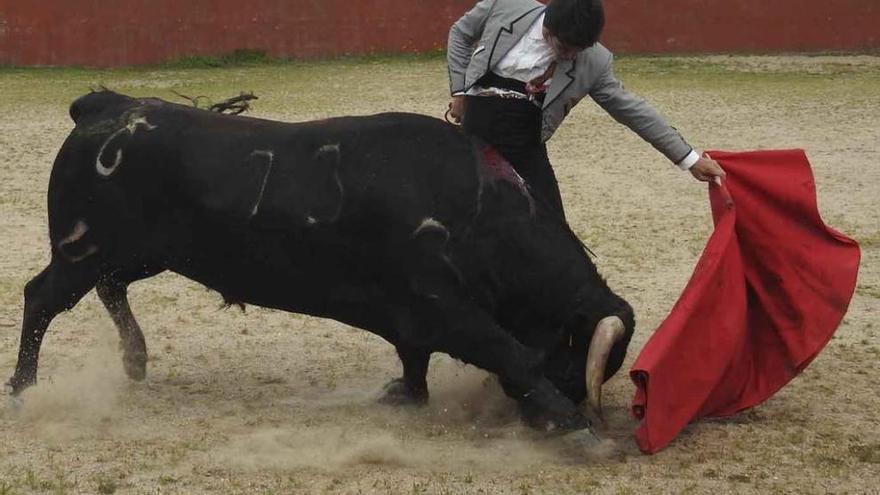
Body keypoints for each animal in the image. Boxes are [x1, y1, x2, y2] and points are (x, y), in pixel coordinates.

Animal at [10, 91, 636, 440]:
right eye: (575, 355)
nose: (566, 404)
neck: (480, 210)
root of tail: (108, 107)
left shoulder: (415, 313)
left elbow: (414, 355)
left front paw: (404, 393)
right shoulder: (443, 303)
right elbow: (509, 351)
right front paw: (572, 426)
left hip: (141, 255)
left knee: (109, 289)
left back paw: (135, 359)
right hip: (83, 251)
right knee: (41, 298)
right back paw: (24, 390)